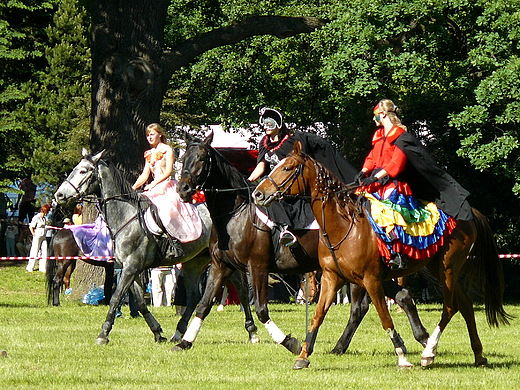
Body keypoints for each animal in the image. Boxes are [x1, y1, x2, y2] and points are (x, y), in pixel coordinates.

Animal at [53, 149, 258, 344]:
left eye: (83, 170)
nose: (59, 195)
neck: (126, 215)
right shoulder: (131, 269)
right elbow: (140, 303)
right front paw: (158, 332)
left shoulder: (131, 267)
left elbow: (116, 298)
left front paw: (103, 334)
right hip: (195, 262)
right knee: (193, 296)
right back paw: (179, 333)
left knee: (241, 290)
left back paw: (252, 332)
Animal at [253, 140, 512, 368]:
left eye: (287, 168)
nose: (258, 194)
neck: (344, 226)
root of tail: (470, 213)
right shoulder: (330, 278)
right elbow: (317, 315)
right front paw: (303, 355)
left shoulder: (371, 280)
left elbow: (384, 317)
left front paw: (402, 356)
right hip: (438, 269)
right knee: (466, 305)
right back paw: (478, 354)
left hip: (448, 268)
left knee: (450, 308)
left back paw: (429, 352)